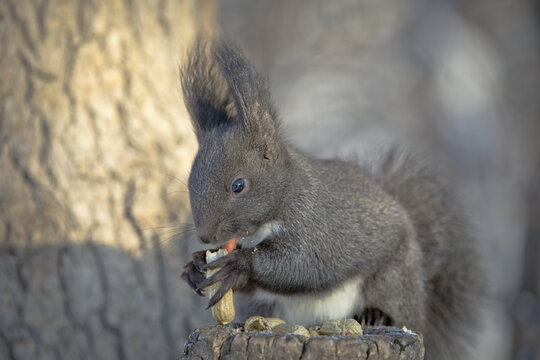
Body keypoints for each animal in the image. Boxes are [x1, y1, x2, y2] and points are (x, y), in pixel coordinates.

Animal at [180, 40, 486, 360]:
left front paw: (240, 265)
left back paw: (377, 314)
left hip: (395, 277)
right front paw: (195, 267)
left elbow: (303, 265)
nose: (205, 237)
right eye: (190, 181)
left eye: (238, 185)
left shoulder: (319, 226)